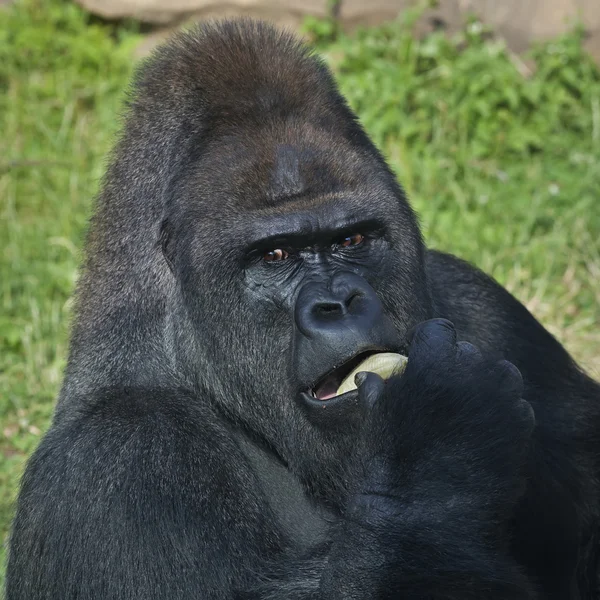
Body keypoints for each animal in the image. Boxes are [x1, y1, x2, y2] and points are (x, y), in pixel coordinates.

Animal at [5, 18, 600, 600]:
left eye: (351, 240)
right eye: (276, 255)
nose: (340, 303)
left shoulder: (485, 302)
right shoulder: (118, 458)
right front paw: (440, 443)